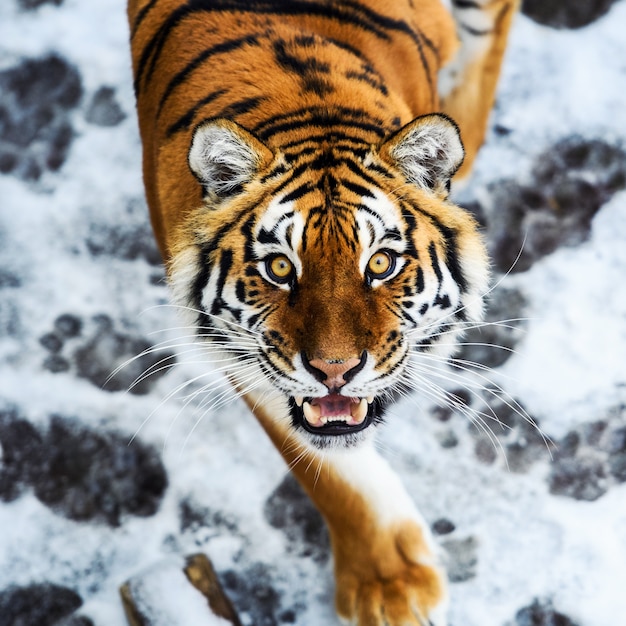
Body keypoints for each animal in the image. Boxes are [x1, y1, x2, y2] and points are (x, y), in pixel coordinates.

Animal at [125, 2, 516, 620]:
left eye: (380, 263)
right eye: (279, 268)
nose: (335, 370)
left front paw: (393, 593)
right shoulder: (248, 358)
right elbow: (330, 471)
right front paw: (391, 589)